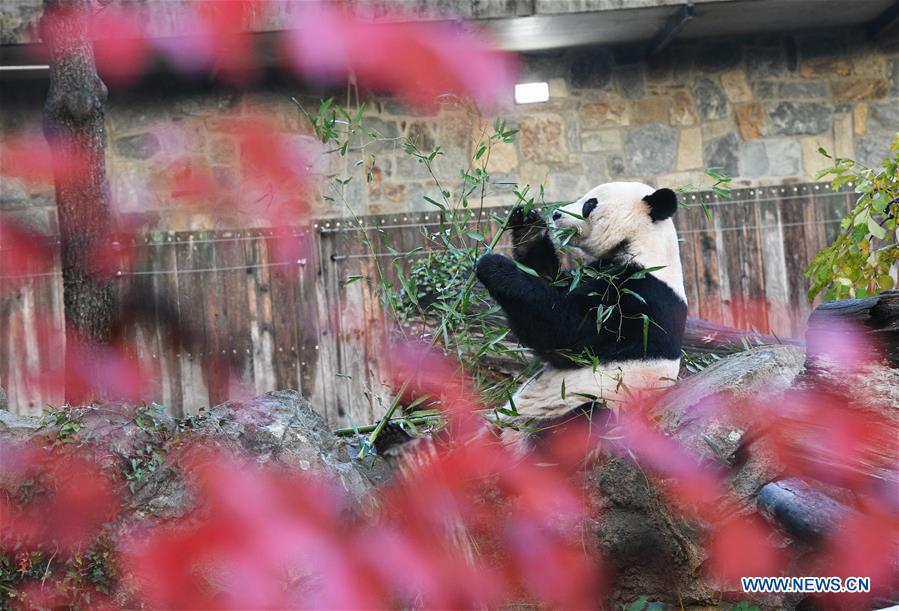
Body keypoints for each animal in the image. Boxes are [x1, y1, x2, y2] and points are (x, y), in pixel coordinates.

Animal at [478, 180, 688, 444]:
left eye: (590, 203)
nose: (556, 215)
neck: (645, 244)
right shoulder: (594, 273)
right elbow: (550, 281)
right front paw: (528, 227)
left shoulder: (642, 303)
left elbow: (569, 332)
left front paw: (496, 266)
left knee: (581, 420)